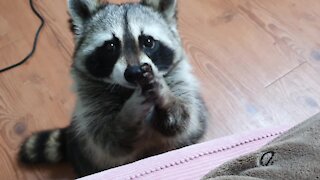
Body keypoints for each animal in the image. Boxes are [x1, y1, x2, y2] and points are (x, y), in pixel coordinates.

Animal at [18, 0, 208, 177]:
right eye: (110, 46)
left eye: (148, 42)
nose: (134, 72)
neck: (128, 88)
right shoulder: (91, 107)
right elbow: (111, 141)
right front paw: (129, 113)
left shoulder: (181, 84)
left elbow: (182, 120)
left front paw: (166, 97)